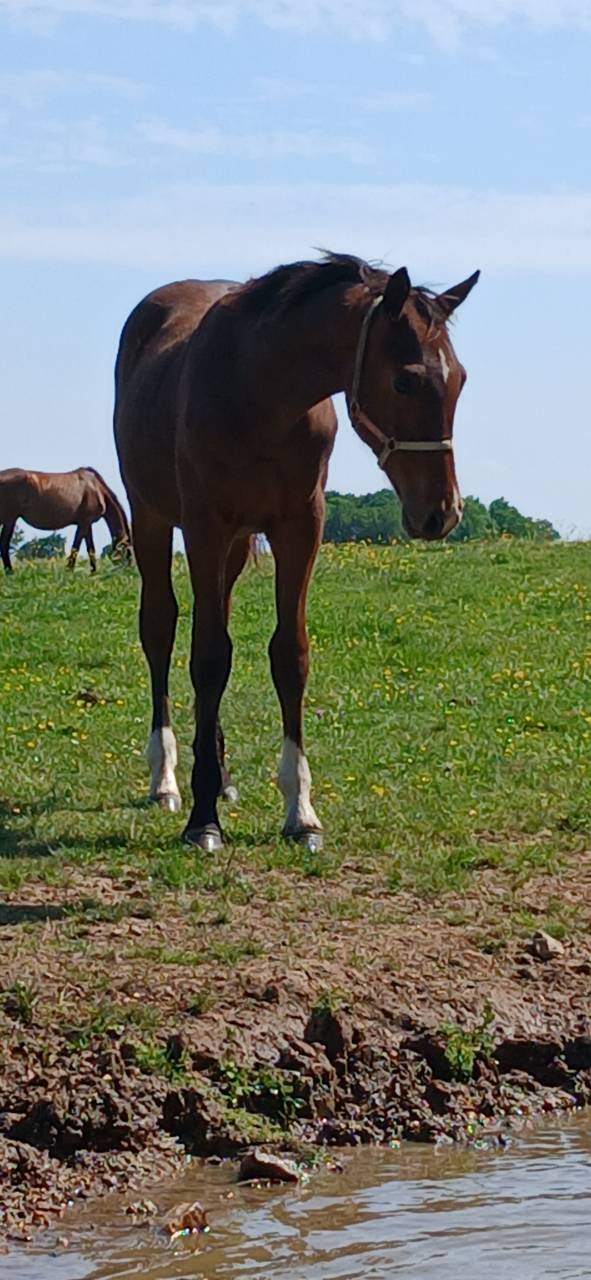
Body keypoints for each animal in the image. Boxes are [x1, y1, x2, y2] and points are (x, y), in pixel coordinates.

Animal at [0, 466, 131, 573]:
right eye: (128, 550)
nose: (128, 570)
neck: (97, 488)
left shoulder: (87, 524)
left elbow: (90, 549)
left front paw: (93, 572)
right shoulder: (84, 522)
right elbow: (76, 547)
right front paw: (69, 571)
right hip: (9, 519)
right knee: (4, 545)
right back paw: (10, 572)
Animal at [114, 251, 479, 853]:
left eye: (460, 380)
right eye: (406, 380)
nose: (442, 513)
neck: (260, 392)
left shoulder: (300, 528)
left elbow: (288, 655)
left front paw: (299, 810)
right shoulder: (204, 526)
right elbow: (208, 656)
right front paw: (202, 819)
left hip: (236, 547)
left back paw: (223, 774)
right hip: (152, 518)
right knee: (161, 629)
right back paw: (166, 779)